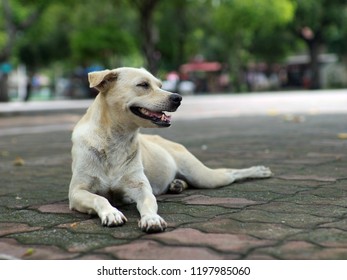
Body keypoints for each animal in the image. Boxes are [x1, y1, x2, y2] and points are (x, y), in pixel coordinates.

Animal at [68, 67, 272, 232]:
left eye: (160, 85)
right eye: (143, 85)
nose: (178, 98)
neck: (115, 140)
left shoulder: (141, 188)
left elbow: (148, 202)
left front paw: (151, 218)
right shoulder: (77, 192)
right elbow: (99, 198)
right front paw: (111, 212)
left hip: (204, 177)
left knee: (230, 173)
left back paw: (258, 170)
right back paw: (177, 184)